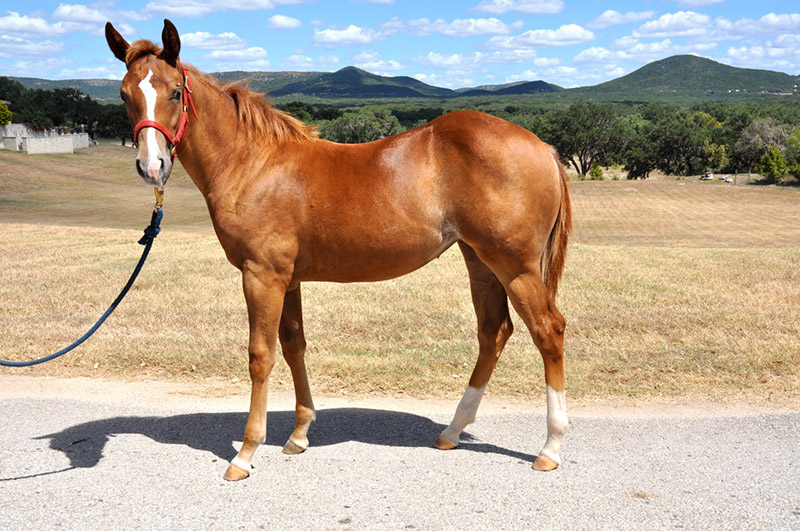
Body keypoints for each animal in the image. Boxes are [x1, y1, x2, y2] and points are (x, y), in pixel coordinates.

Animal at [106, 19, 572, 482]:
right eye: (125, 95)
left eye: (175, 92)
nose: (152, 167)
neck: (253, 164)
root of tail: (544, 148)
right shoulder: (288, 279)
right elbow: (293, 346)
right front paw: (299, 435)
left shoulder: (262, 275)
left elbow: (261, 355)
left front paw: (245, 453)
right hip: (481, 261)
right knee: (494, 332)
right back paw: (453, 430)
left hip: (515, 267)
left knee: (548, 331)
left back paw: (550, 447)